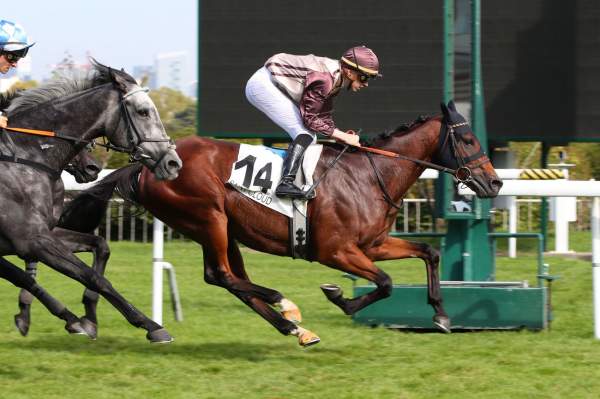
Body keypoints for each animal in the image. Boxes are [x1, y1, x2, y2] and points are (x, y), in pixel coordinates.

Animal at [0, 59, 183, 344]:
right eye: (143, 112)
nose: (173, 163)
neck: (25, 156)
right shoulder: (31, 240)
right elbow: (91, 277)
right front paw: (151, 325)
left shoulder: (41, 234)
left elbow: (100, 246)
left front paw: (84, 318)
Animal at [59, 101, 502, 346]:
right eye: (467, 140)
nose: (494, 182)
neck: (369, 174)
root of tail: (145, 167)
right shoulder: (335, 251)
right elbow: (386, 283)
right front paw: (339, 297)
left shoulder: (373, 244)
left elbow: (428, 252)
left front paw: (441, 315)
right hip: (209, 217)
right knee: (223, 275)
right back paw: (284, 304)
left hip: (223, 229)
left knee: (229, 279)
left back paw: (292, 328)